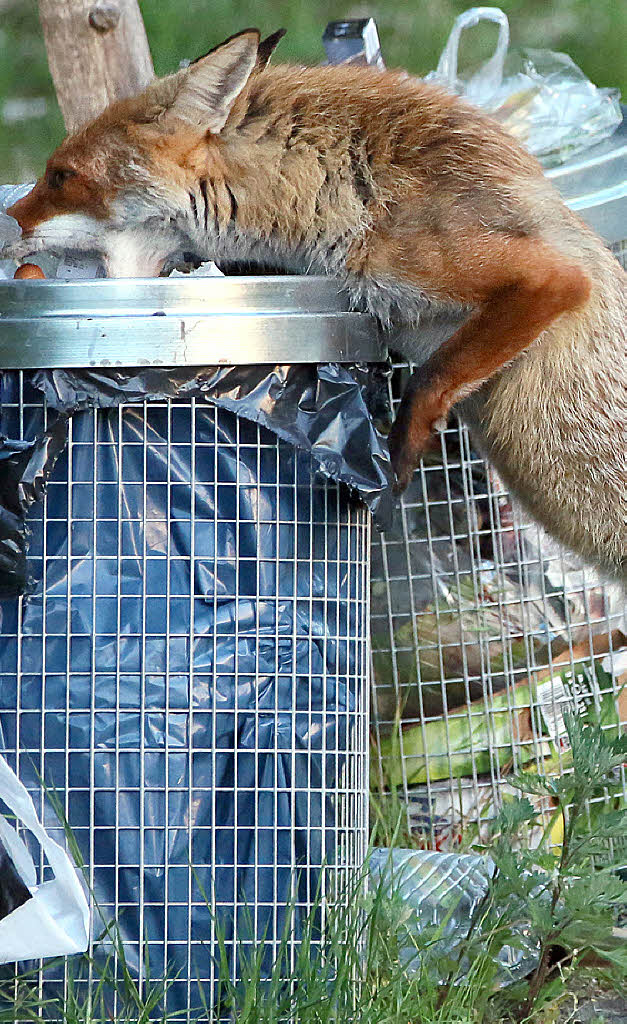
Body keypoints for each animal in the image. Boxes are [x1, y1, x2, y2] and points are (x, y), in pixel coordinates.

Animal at [6, 28, 627, 581]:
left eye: (61, 176)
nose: (6, 220)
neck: (353, 191)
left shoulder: (546, 278)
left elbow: (433, 377)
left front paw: (397, 463)